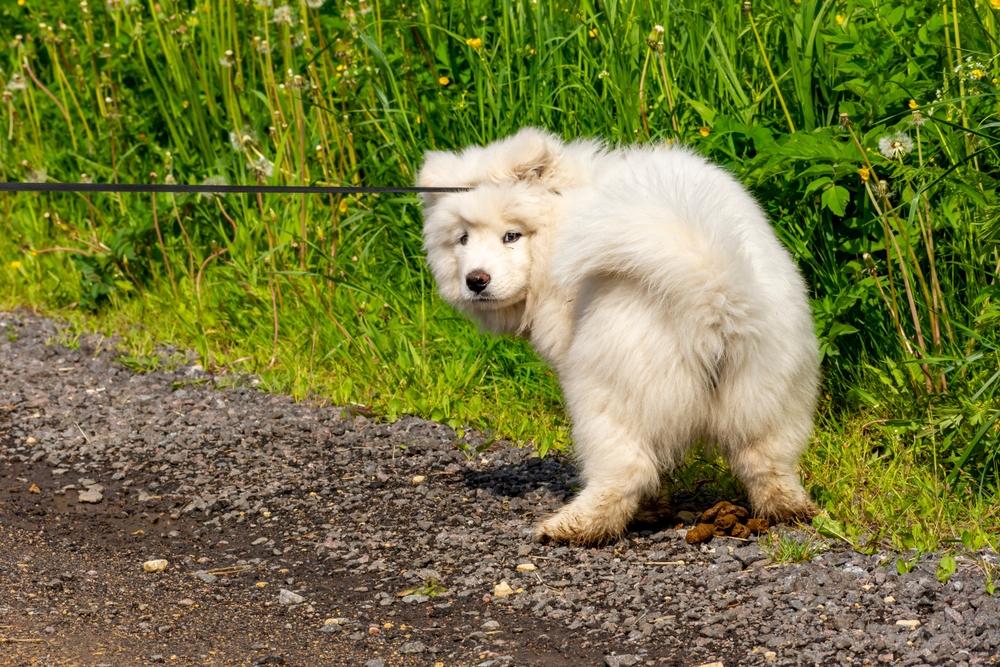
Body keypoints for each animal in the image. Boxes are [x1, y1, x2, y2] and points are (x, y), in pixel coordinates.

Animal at [418, 128, 816, 544]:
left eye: (511, 236)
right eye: (462, 239)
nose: (476, 280)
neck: (561, 212)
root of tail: (715, 291)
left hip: (607, 395)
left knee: (626, 470)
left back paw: (572, 526)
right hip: (771, 392)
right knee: (767, 460)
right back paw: (789, 509)